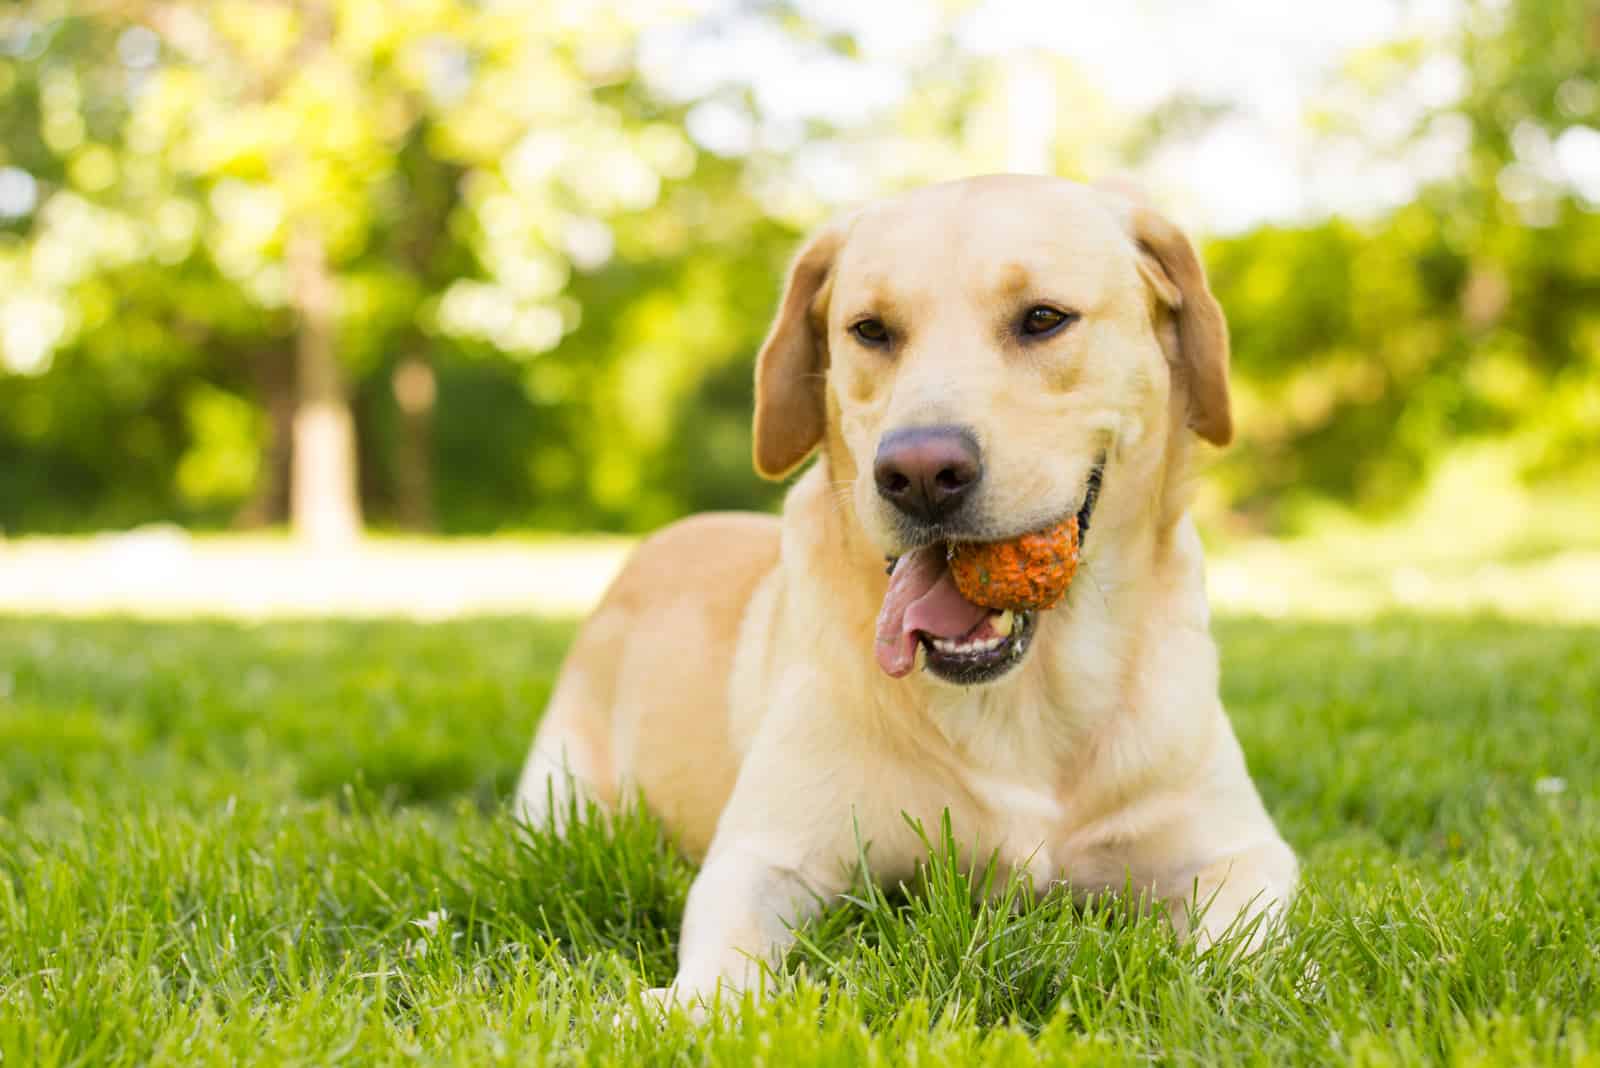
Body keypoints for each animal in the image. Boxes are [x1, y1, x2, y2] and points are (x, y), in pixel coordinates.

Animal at [518, 171, 1292, 1004]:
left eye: (1043, 318)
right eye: (871, 330)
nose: (920, 472)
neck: (1025, 697)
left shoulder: (1243, 852)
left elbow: (1233, 958)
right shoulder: (765, 853)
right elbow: (724, 961)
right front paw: (682, 1010)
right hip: (559, 799)